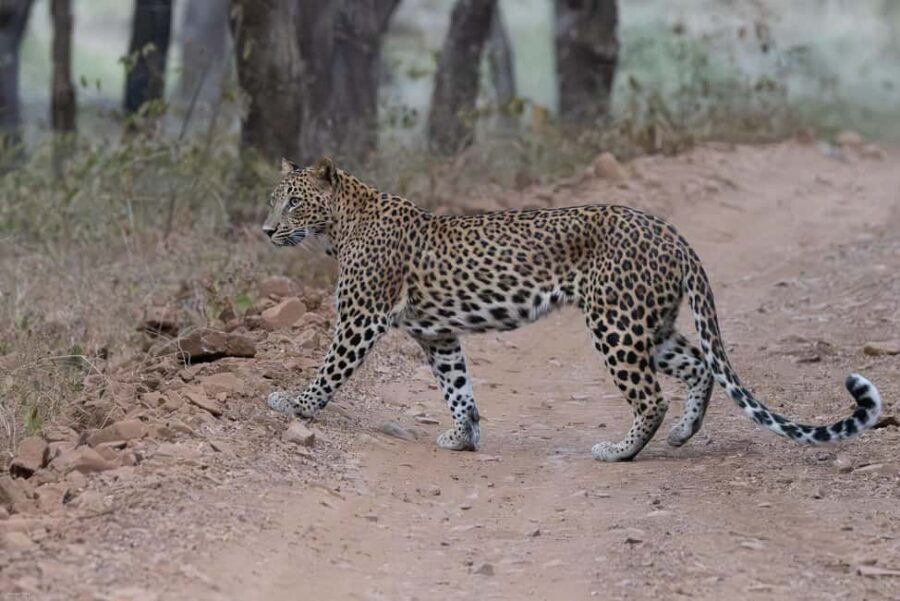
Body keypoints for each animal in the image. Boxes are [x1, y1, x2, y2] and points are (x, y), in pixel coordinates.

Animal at [262, 156, 882, 462]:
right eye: (274, 200)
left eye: (291, 201)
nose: (266, 229)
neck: (338, 226)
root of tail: (671, 232)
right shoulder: (437, 336)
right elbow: (457, 388)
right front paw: (463, 437)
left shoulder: (360, 317)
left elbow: (328, 369)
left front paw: (295, 403)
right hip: (651, 325)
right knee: (700, 368)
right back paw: (684, 435)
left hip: (615, 321)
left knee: (651, 396)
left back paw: (619, 452)